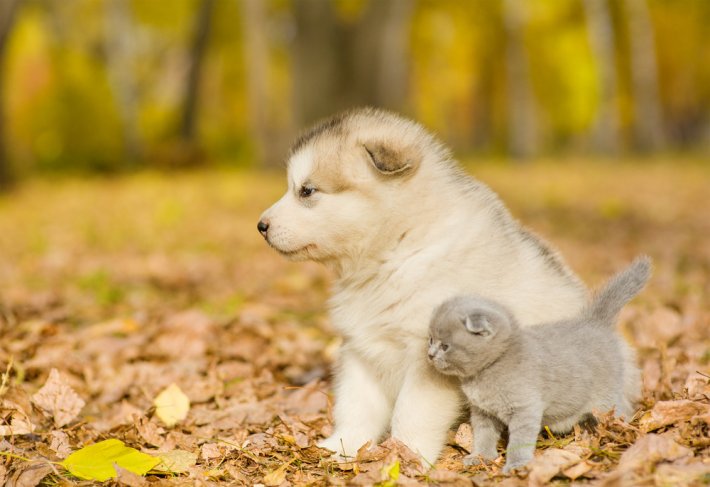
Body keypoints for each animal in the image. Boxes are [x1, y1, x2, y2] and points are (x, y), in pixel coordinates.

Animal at [260, 108, 588, 464]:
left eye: (307, 191)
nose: (261, 226)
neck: (397, 252)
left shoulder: (430, 359)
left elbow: (411, 411)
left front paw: (406, 456)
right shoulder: (363, 350)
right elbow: (356, 406)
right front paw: (342, 446)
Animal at [426, 255, 652, 472]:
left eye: (445, 346)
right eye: (430, 339)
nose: (430, 354)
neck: (491, 366)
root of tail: (594, 323)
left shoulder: (525, 409)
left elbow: (519, 441)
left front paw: (517, 465)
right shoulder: (483, 412)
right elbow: (484, 435)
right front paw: (481, 457)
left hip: (606, 400)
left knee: (621, 410)